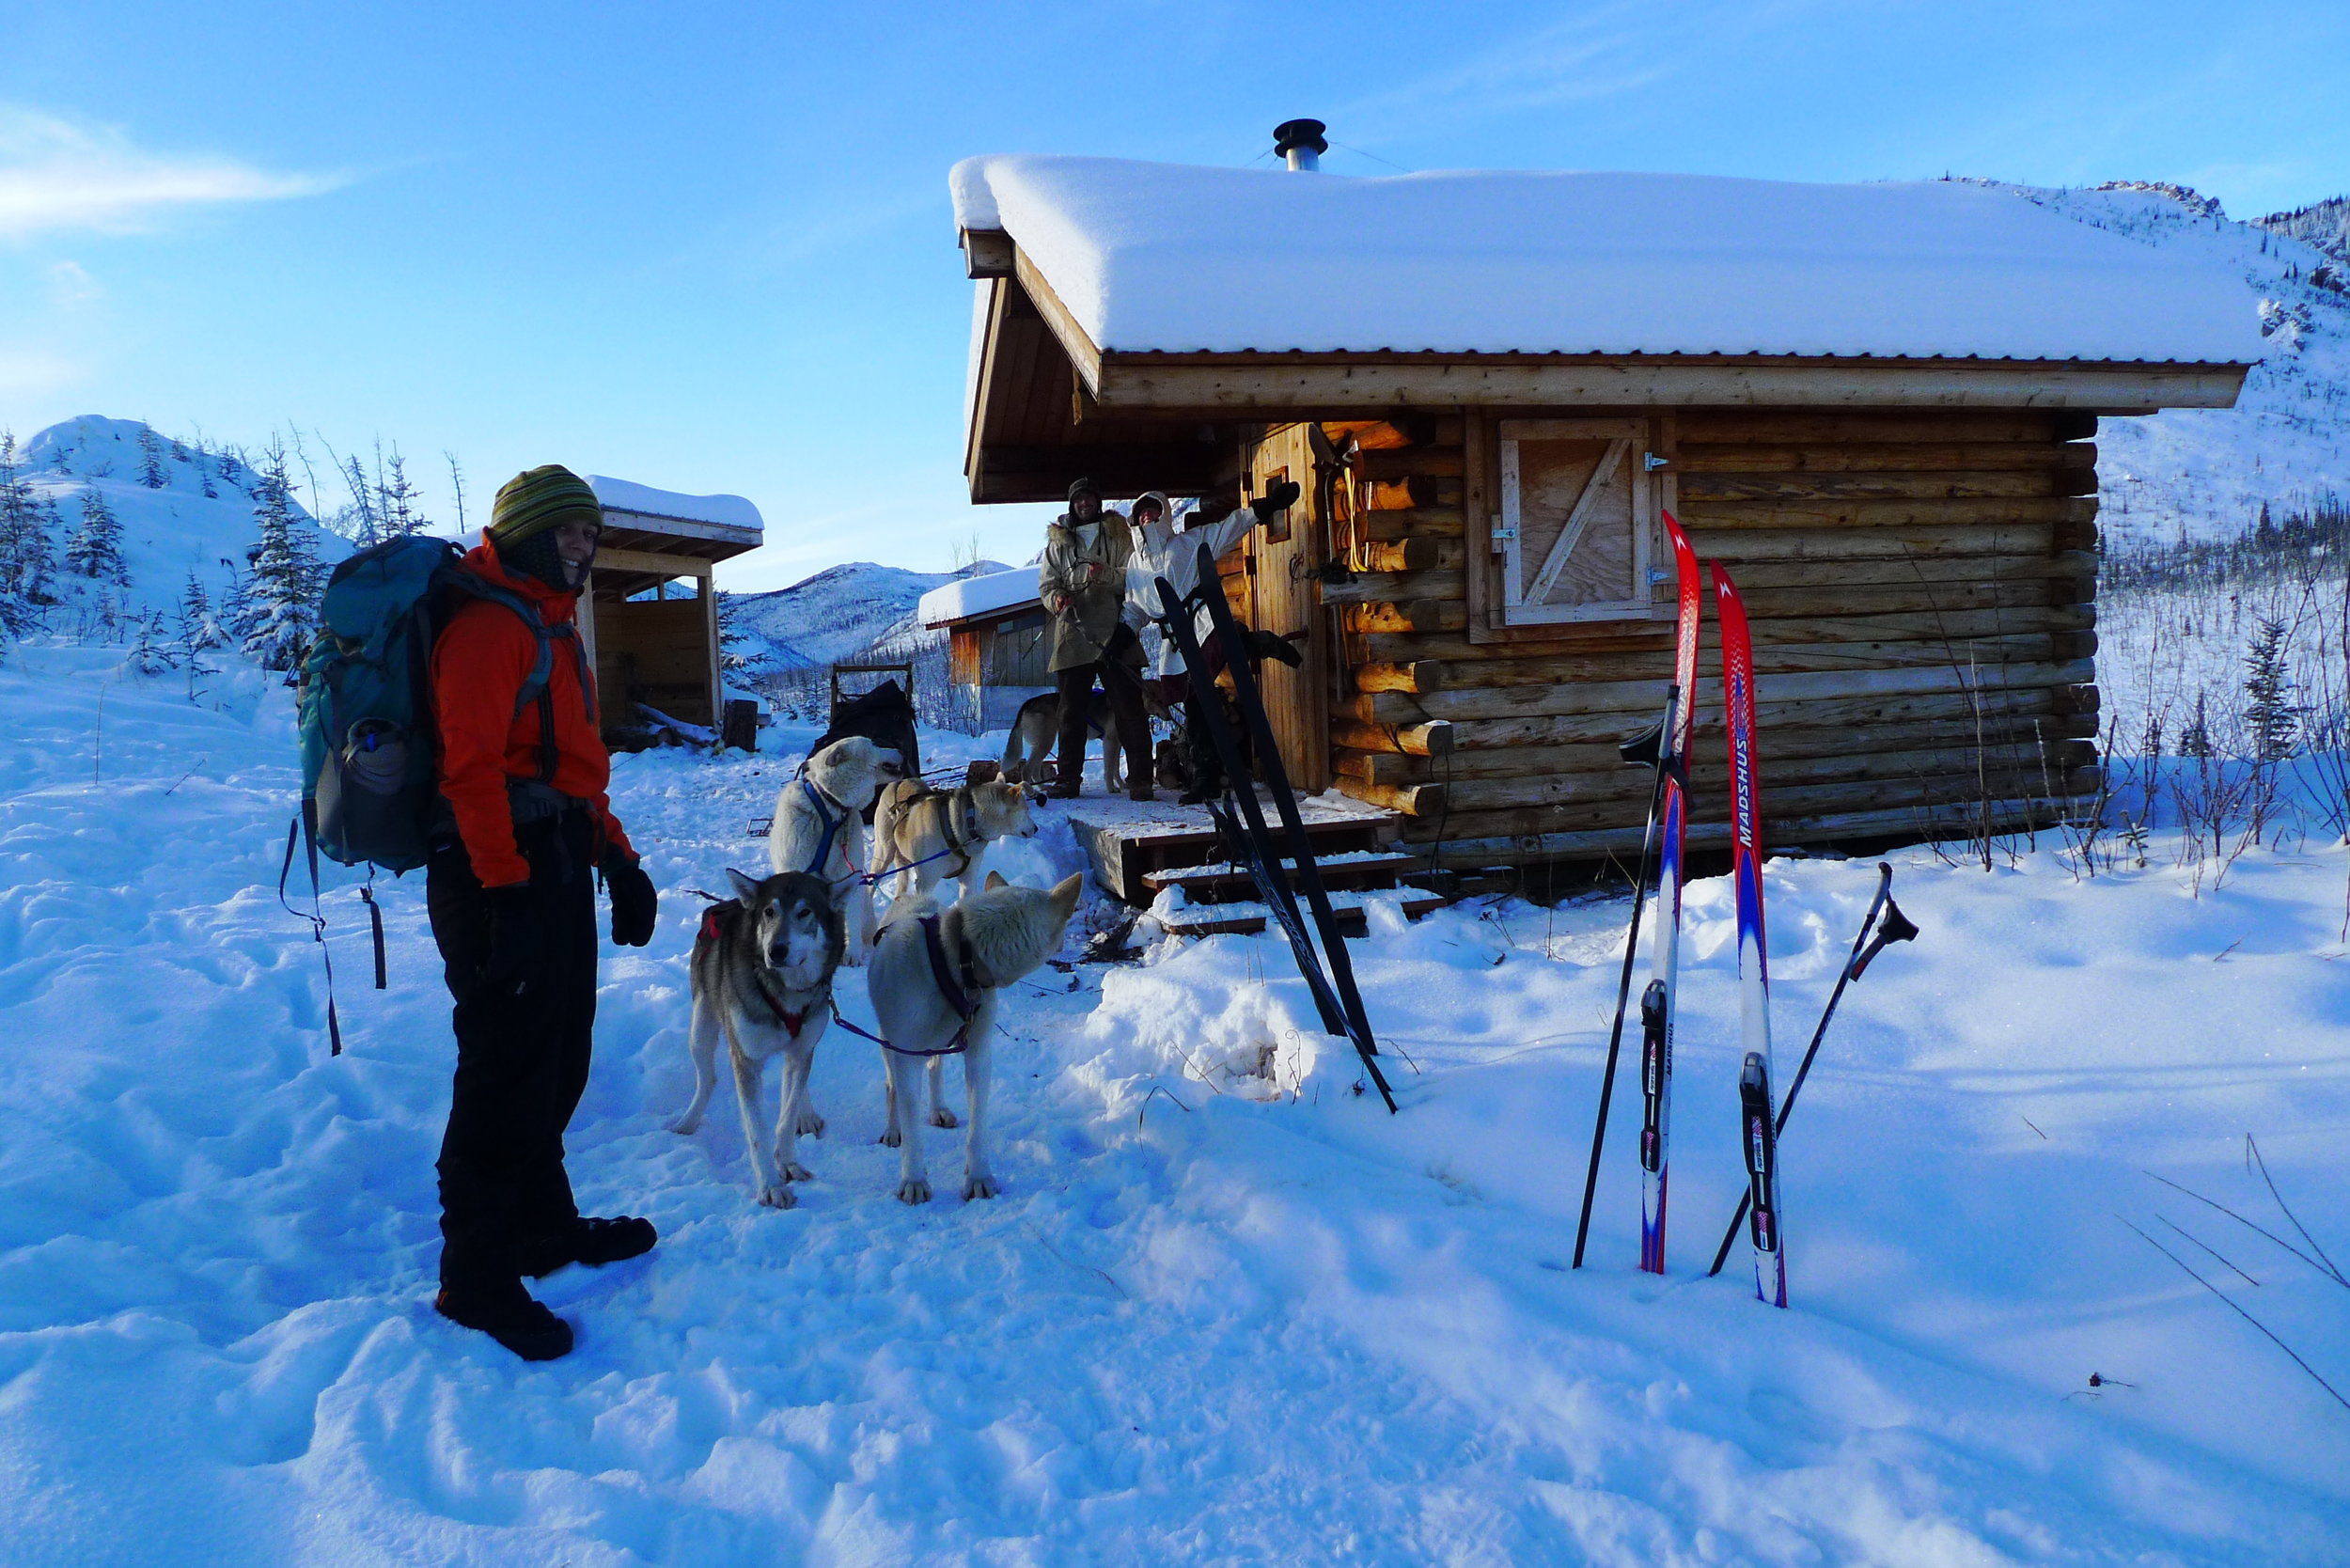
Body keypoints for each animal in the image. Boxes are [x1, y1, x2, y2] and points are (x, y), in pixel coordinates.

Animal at [672, 870, 846, 1213]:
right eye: (769, 912)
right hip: (700, 1031)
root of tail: (724, 904)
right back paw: (688, 1121)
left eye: (805, 912)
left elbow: (786, 1117)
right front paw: (771, 1186)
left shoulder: (801, 1051)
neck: (787, 992)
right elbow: (758, 1131)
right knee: (707, 1079)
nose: (776, 951)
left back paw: (807, 1114)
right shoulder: (747, 1061)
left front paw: (789, 1163)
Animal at [771, 738, 898, 968]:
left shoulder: (850, 878)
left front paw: (852, 954)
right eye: (872, 743)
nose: (899, 750)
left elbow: (852, 921)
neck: (829, 806)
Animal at [865, 865, 1081, 1213]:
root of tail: (913, 900)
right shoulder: (906, 1054)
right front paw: (914, 1180)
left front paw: (978, 1177)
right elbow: (912, 1125)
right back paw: (893, 1128)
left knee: (935, 1067)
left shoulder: (978, 1053)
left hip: (940, 1043)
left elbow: (977, 1127)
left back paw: (938, 1108)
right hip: (890, 1043)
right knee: (892, 1086)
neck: (954, 957)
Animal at [874, 776, 1039, 902]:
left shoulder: (968, 880)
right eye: (1027, 810)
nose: (1036, 828)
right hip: (884, 855)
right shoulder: (925, 884)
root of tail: (899, 781)